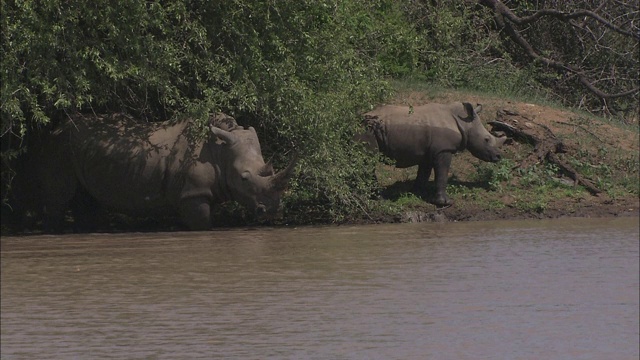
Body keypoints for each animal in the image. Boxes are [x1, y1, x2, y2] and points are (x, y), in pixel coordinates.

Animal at [12, 112, 298, 231]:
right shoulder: (192, 194)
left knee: (86, 200)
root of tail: (54, 129)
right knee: (57, 198)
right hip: (59, 148)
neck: (221, 151)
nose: (273, 211)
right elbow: (203, 224)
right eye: (244, 178)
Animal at [360, 102, 504, 207]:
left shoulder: (428, 153)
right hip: (368, 129)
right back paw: (380, 200)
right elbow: (442, 173)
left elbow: (424, 173)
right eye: (486, 139)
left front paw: (416, 193)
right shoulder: (443, 150)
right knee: (368, 162)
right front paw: (445, 203)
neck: (464, 123)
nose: (499, 156)